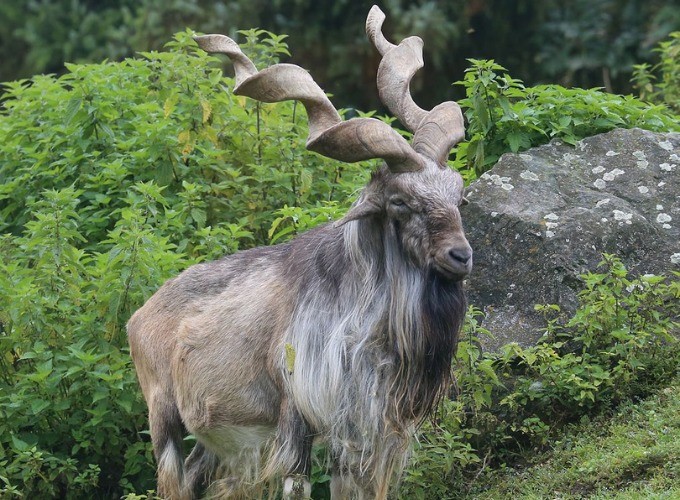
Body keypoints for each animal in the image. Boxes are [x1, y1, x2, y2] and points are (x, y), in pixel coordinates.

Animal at [127, 5, 472, 499]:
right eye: (401, 202)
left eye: (458, 196)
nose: (460, 256)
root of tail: (139, 316)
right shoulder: (297, 416)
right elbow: (298, 484)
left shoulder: (366, 432)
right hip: (163, 419)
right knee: (172, 478)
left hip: (216, 439)